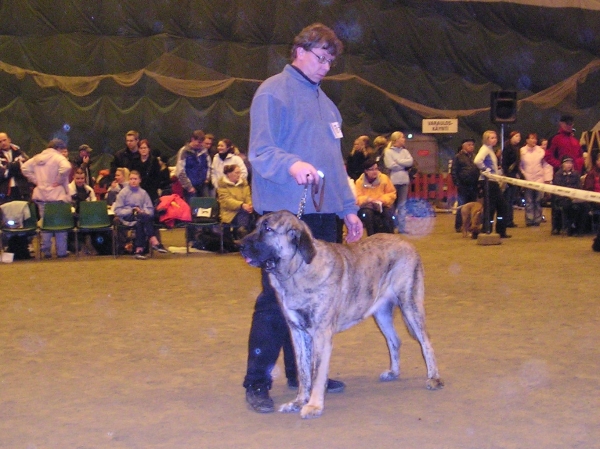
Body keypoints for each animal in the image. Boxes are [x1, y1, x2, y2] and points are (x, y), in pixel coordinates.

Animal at [238, 210, 440, 416]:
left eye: (268, 229)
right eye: (256, 226)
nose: (240, 245)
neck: (297, 269)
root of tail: (406, 242)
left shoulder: (321, 334)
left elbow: (317, 374)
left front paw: (313, 405)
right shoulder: (298, 332)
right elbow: (303, 372)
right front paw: (298, 402)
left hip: (410, 304)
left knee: (426, 342)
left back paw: (434, 378)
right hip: (381, 312)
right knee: (394, 340)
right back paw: (393, 372)